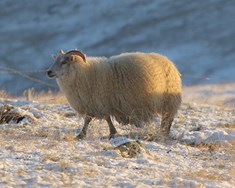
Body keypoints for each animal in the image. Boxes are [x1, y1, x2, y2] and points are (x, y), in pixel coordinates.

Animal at [46, 49, 181, 140]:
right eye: (55, 60)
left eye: (64, 62)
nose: (49, 72)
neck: (84, 73)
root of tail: (168, 61)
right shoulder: (93, 103)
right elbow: (90, 119)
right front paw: (82, 134)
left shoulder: (102, 101)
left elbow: (103, 118)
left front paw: (111, 133)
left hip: (170, 100)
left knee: (168, 118)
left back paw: (164, 133)